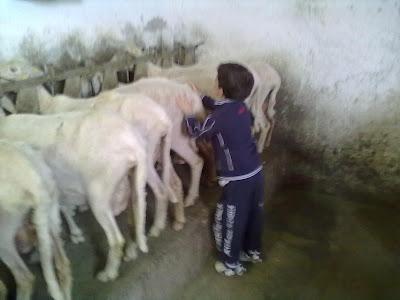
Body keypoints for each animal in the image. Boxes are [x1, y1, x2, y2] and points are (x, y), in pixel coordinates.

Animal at [0, 109, 148, 282]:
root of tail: (132, 142)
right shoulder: (56, 187)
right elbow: (62, 210)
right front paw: (74, 233)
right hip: (133, 180)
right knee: (135, 210)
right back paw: (133, 249)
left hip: (98, 195)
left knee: (116, 239)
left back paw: (108, 273)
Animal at [35, 86, 185, 237]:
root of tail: (163, 119)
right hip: (161, 150)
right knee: (174, 182)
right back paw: (178, 221)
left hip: (146, 156)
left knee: (161, 190)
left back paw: (156, 229)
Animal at [145, 59, 282, 151]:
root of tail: (276, 79)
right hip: (258, 102)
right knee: (266, 121)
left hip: (256, 101)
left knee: (263, 124)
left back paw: (259, 147)